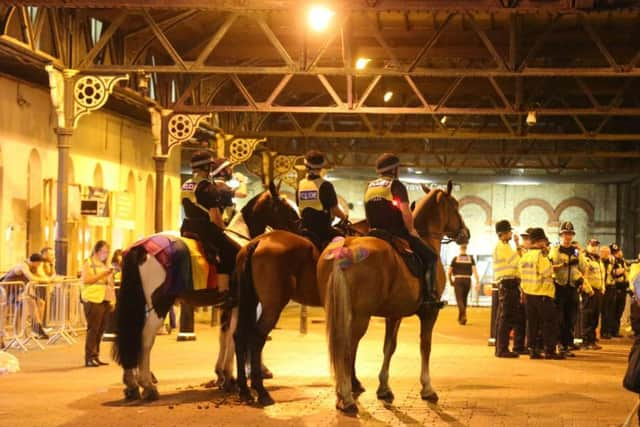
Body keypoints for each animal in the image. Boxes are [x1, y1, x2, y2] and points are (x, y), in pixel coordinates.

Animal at [318, 181, 468, 414]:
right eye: (455, 206)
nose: (465, 233)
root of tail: (346, 247)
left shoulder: (394, 314)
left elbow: (389, 347)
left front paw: (384, 388)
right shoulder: (429, 313)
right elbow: (425, 346)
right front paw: (427, 388)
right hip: (360, 316)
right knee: (347, 348)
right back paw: (347, 396)